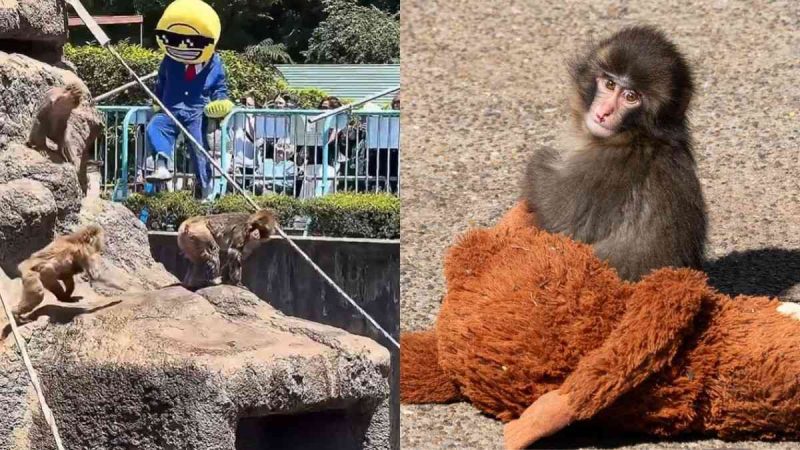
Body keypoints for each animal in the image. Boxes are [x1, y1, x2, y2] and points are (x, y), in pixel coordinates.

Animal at [522, 26, 707, 281]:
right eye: (609, 84)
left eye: (631, 97)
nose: (603, 113)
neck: (638, 136)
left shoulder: (602, 168)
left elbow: (559, 223)